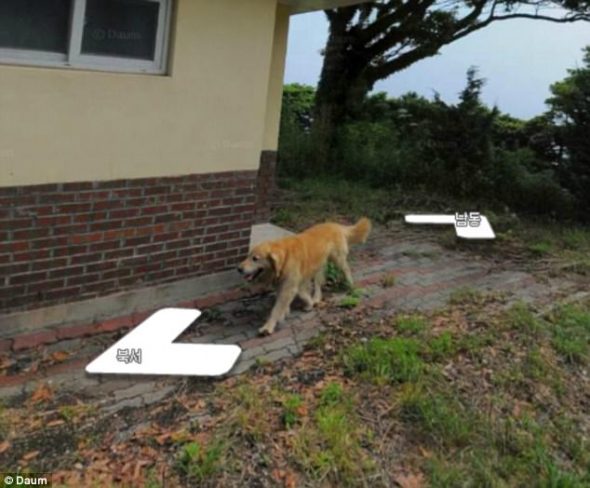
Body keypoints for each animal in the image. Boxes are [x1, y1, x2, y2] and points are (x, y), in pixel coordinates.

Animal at [239, 218, 370, 336]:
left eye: (255, 258)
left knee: (346, 270)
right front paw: (298, 307)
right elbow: (294, 296)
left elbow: (276, 309)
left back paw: (350, 285)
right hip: (318, 266)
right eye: (248, 256)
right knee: (318, 284)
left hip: (337, 259)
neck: (285, 257)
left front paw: (268, 327)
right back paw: (316, 298)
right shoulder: (286, 284)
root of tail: (334, 224)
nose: (238, 269)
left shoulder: (290, 286)